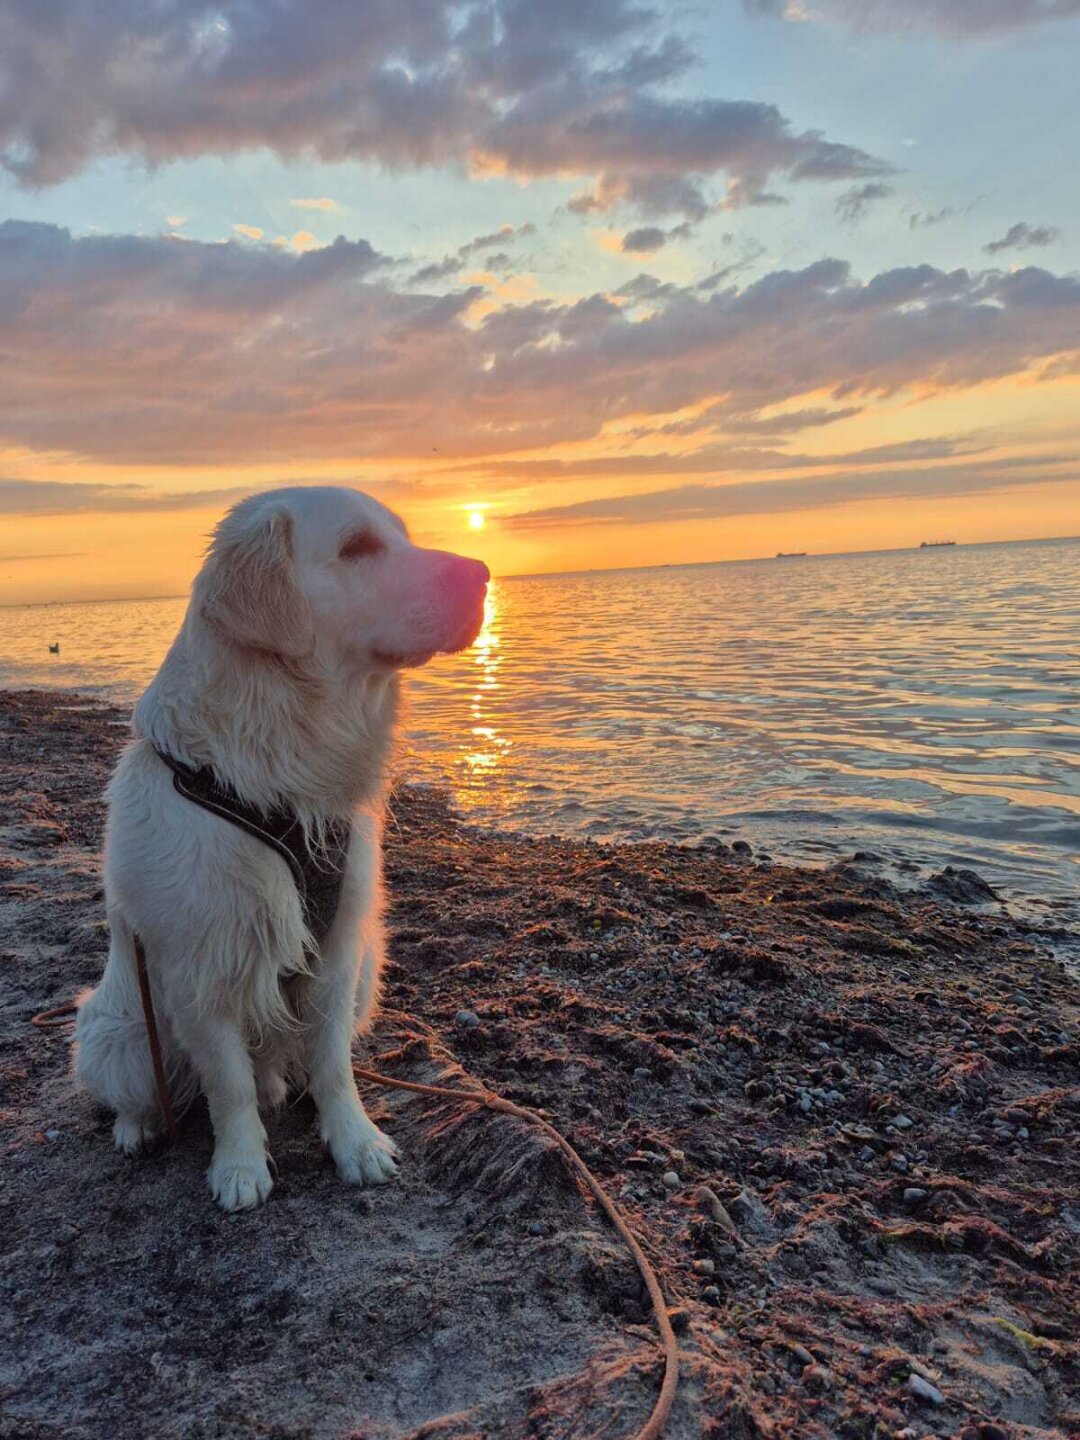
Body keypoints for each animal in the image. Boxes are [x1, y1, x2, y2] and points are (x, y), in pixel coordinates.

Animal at [78, 489, 492, 1209]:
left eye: (402, 537)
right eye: (357, 547)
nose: (484, 574)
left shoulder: (338, 949)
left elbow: (332, 1065)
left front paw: (354, 1141)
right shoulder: (201, 968)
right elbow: (228, 1086)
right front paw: (240, 1168)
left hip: (367, 972)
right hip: (114, 1033)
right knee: (150, 1088)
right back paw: (140, 1126)